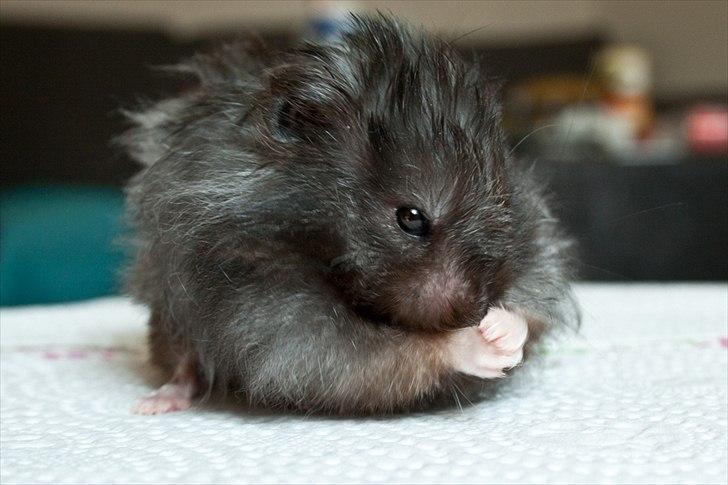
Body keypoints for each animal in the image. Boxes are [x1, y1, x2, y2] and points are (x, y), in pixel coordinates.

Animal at [120, 15, 580, 415]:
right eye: (411, 218)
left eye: (506, 203)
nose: (473, 312)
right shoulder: (274, 318)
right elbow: (392, 353)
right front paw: (482, 344)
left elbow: (530, 307)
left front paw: (503, 330)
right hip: (170, 314)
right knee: (184, 362)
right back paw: (154, 403)